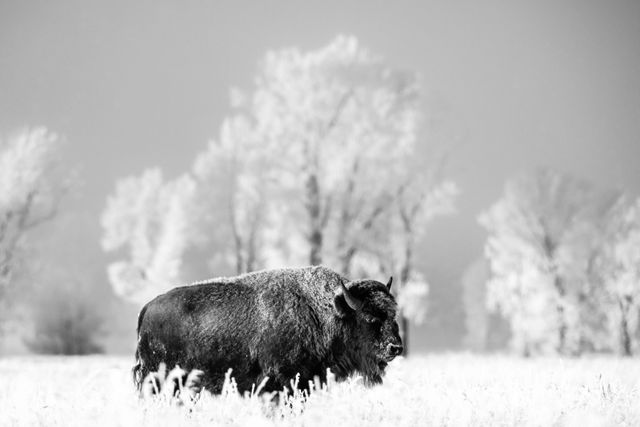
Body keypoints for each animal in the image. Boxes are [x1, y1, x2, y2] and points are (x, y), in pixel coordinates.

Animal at [132, 266, 402, 396]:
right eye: (369, 317)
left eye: (393, 315)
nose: (396, 347)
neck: (327, 312)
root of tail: (147, 308)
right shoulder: (285, 382)